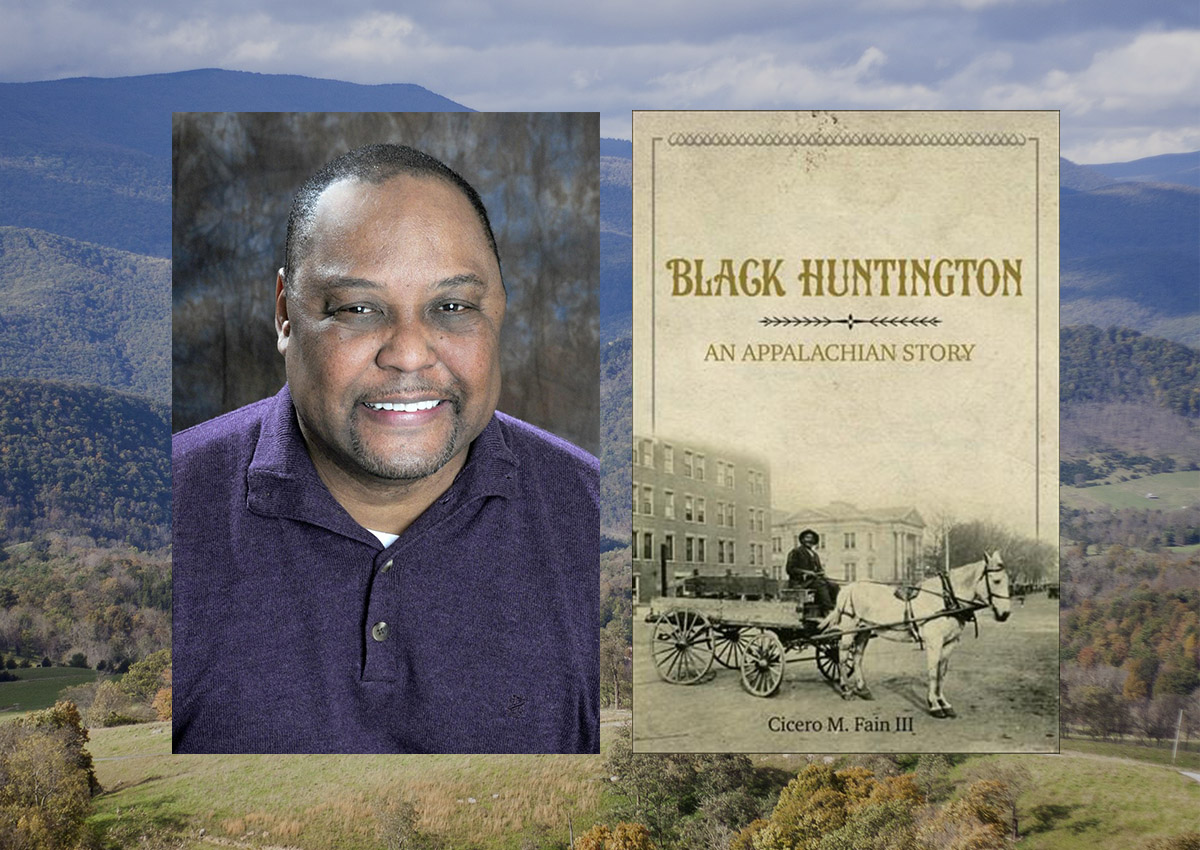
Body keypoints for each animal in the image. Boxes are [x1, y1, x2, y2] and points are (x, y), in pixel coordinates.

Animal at [820, 552, 1008, 715]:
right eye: (996, 581)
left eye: (1008, 581)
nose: (1005, 614)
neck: (945, 599)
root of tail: (849, 587)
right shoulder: (934, 642)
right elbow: (933, 672)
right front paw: (934, 705)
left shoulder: (950, 642)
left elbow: (942, 672)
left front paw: (944, 703)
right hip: (849, 630)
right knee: (842, 656)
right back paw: (846, 690)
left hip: (864, 631)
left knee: (858, 657)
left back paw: (863, 690)